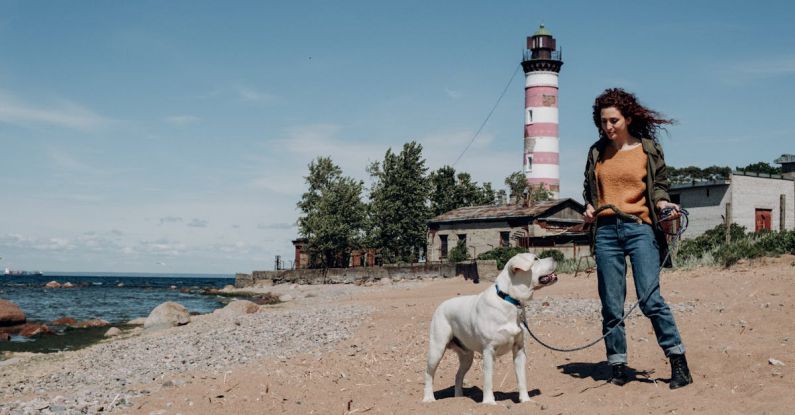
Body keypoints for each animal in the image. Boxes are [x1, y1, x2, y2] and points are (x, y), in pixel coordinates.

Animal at [422, 252, 560, 404]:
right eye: (535, 259)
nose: (555, 257)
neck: (508, 299)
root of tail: (440, 306)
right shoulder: (489, 350)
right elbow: (488, 379)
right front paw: (489, 402)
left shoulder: (519, 350)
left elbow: (522, 379)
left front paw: (525, 400)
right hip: (437, 349)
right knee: (428, 374)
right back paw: (429, 398)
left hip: (467, 356)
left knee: (458, 375)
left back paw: (459, 398)